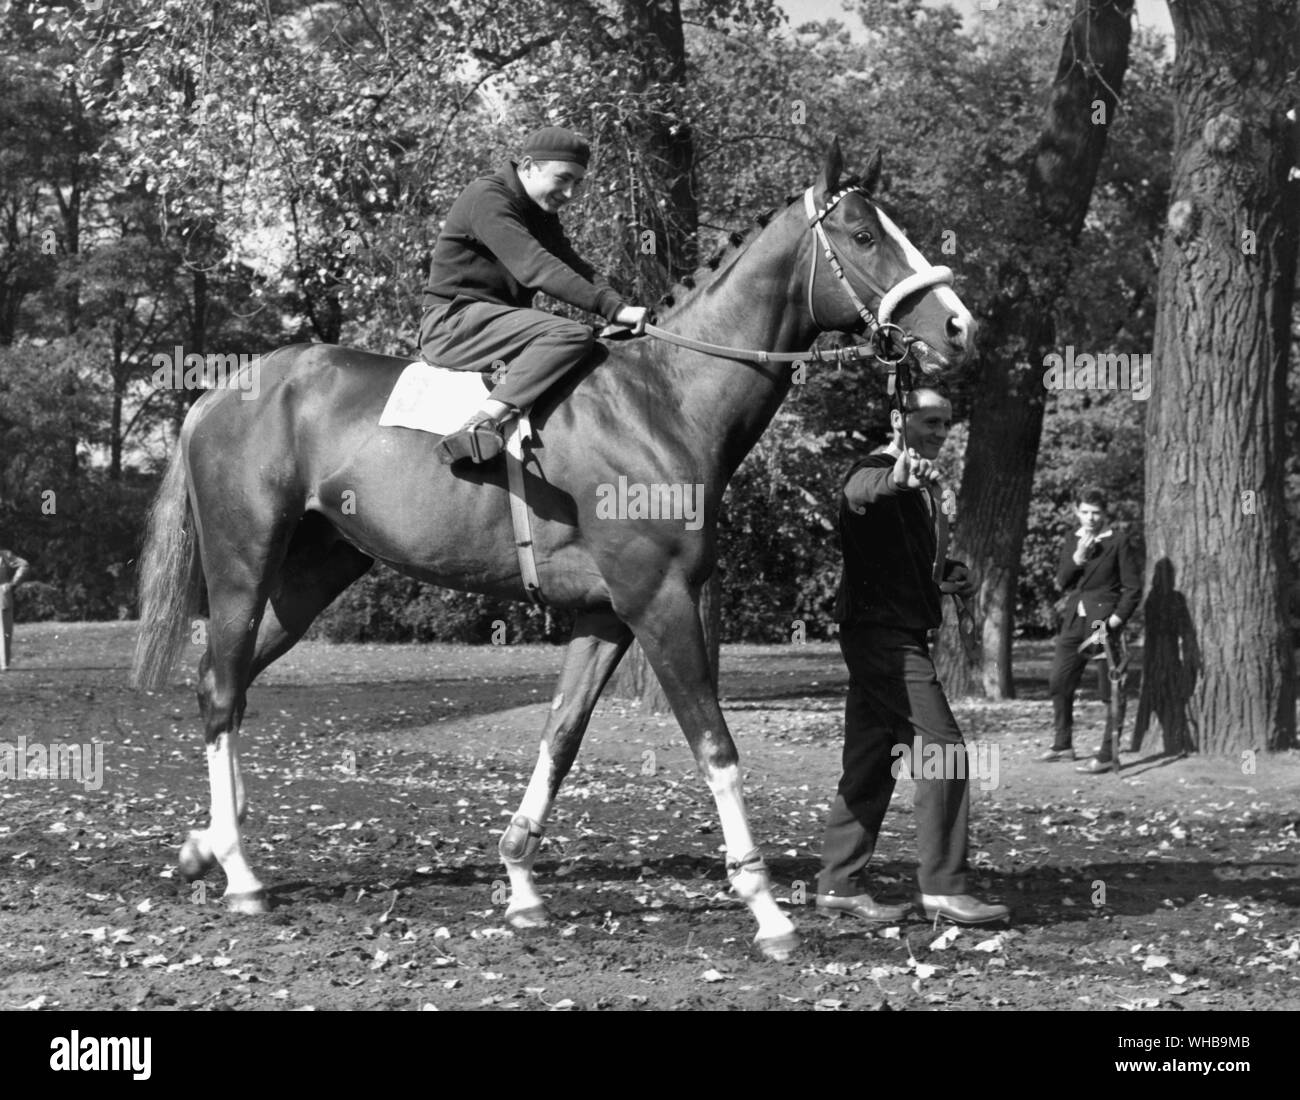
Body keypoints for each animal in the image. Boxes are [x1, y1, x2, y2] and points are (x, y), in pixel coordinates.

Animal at [131, 142, 977, 962]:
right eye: (864, 235)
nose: (960, 326)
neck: (662, 399)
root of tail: (221, 391)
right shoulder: (660, 603)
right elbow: (716, 748)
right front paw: (764, 905)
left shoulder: (605, 617)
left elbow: (561, 737)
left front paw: (520, 879)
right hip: (244, 567)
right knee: (222, 688)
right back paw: (240, 871)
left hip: (312, 575)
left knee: (226, 686)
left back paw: (209, 844)